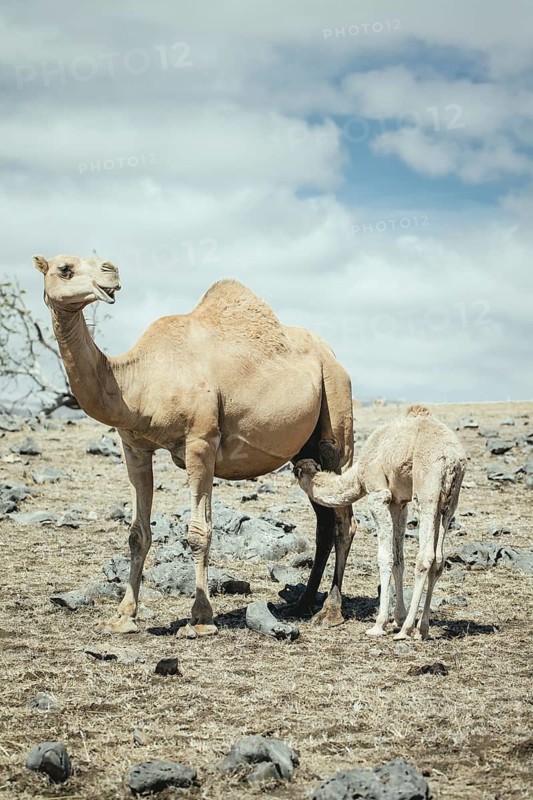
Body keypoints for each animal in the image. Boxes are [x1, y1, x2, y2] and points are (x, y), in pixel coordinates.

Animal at [32, 254, 355, 638]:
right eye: (64, 268)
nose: (110, 271)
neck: (137, 382)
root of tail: (333, 356)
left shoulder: (200, 442)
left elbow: (199, 532)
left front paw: (200, 619)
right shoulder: (134, 445)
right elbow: (137, 533)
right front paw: (123, 616)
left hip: (336, 415)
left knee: (343, 518)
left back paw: (331, 610)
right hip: (304, 450)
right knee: (323, 519)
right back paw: (303, 603)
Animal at [294, 405, 467, 640]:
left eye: (300, 470)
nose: (294, 466)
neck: (358, 474)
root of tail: (451, 456)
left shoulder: (378, 494)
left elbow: (384, 558)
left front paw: (380, 623)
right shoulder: (398, 502)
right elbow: (398, 559)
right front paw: (398, 617)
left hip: (427, 491)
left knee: (425, 557)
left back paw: (406, 630)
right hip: (449, 500)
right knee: (439, 559)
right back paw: (421, 629)